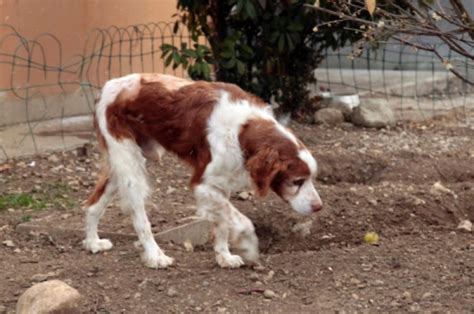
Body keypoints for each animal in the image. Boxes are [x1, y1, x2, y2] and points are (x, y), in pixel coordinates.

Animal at [83, 73, 324, 268]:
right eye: (297, 181)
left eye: (311, 179)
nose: (318, 207)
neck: (243, 130)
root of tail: (107, 87)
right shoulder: (201, 185)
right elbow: (242, 220)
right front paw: (248, 245)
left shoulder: (220, 183)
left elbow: (224, 221)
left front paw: (224, 256)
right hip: (130, 166)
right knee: (140, 219)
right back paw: (155, 256)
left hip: (125, 164)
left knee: (93, 204)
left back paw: (93, 242)